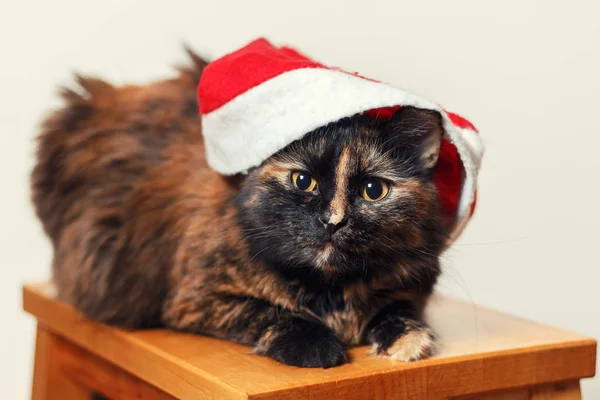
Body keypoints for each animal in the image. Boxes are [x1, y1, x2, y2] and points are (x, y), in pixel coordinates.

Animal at [30, 50, 448, 368]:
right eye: (303, 181)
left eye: (373, 190)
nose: (333, 221)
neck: (331, 290)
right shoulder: (196, 298)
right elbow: (272, 312)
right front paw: (321, 347)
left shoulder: (412, 283)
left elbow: (398, 310)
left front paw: (408, 341)